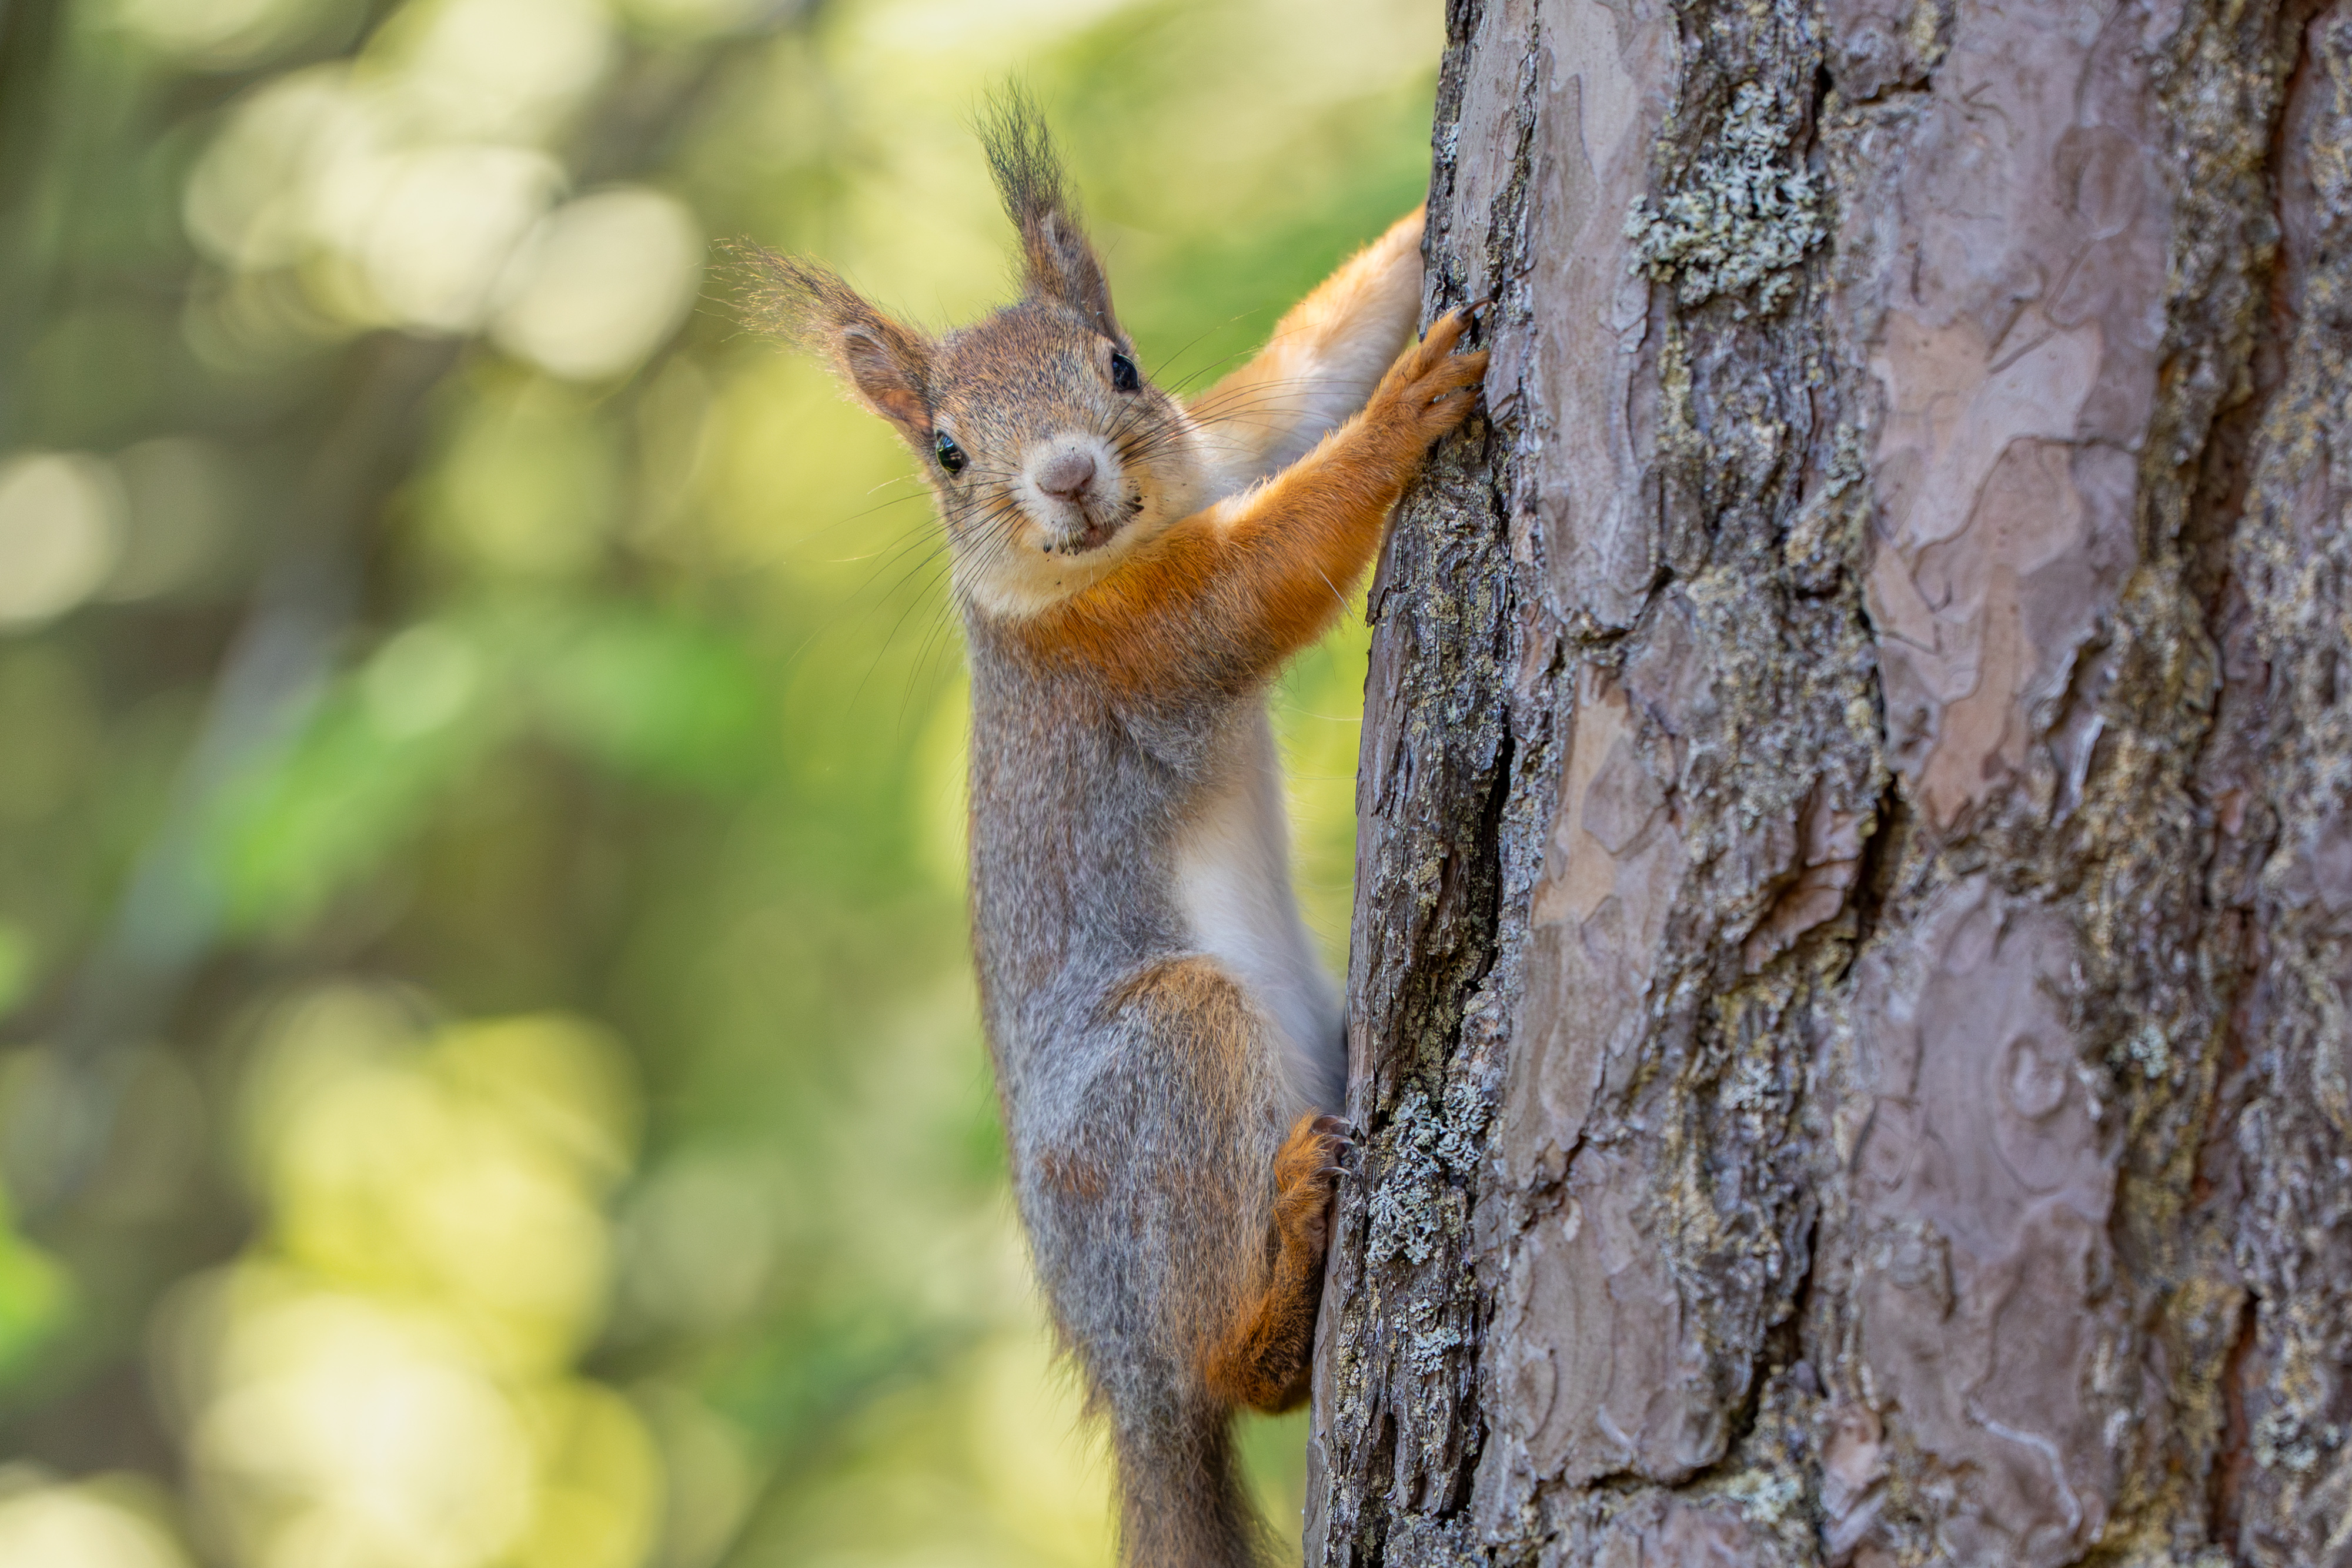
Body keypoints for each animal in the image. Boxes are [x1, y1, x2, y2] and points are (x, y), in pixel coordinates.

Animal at [736, 95, 1486, 1568]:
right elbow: (1271, 571)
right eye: (947, 452)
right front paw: (1400, 421)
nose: (1070, 476)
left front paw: (1406, 234)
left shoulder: (1221, 446)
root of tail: (1115, 1374)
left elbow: (1304, 365)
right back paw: (1279, 1272)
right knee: (1226, 1367)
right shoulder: (1130, 649)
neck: (1099, 566)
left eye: (1122, 366)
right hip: (1162, 1071)